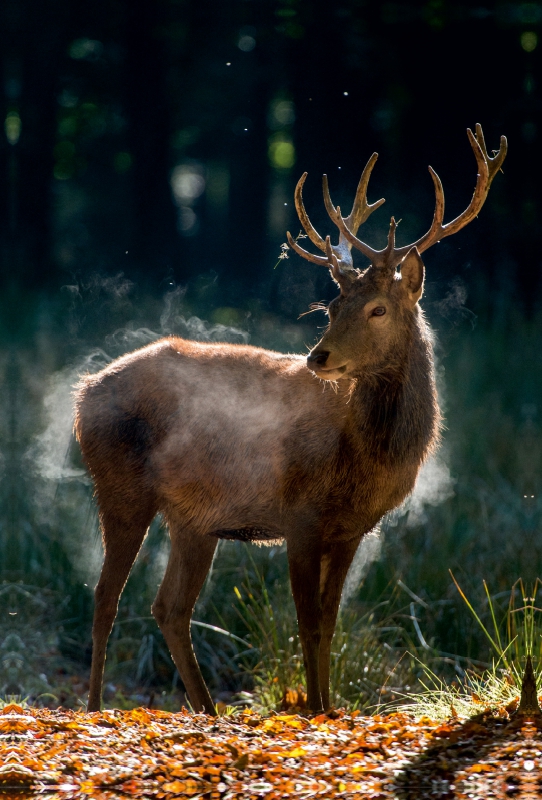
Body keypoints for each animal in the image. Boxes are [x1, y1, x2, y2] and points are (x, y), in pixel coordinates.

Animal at [76, 123, 510, 712]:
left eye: (378, 308)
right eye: (331, 306)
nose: (318, 357)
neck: (367, 456)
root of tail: (82, 392)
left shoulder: (352, 529)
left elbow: (330, 624)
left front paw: (328, 707)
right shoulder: (300, 515)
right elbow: (305, 624)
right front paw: (314, 709)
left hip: (194, 518)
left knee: (169, 607)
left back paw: (207, 709)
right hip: (120, 483)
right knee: (105, 595)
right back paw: (96, 707)